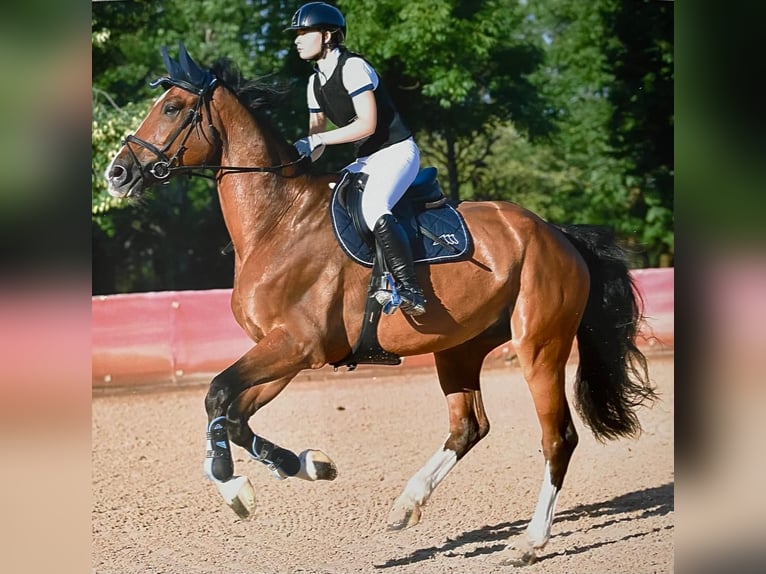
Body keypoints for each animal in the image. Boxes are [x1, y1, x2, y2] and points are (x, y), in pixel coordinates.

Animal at [104, 43, 656, 565]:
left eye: (172, 108)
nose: (117, 173)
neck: (278, 222)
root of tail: (557, 233)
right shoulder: (285, 351)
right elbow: (234, 415)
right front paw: (308, 464)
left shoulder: (297, 346)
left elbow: (217, 395)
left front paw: (232, 482)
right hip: (458, 348)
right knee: (468, 427)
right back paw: (407, 504)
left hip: (539, 345)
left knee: (557, 437)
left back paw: (529, 542)